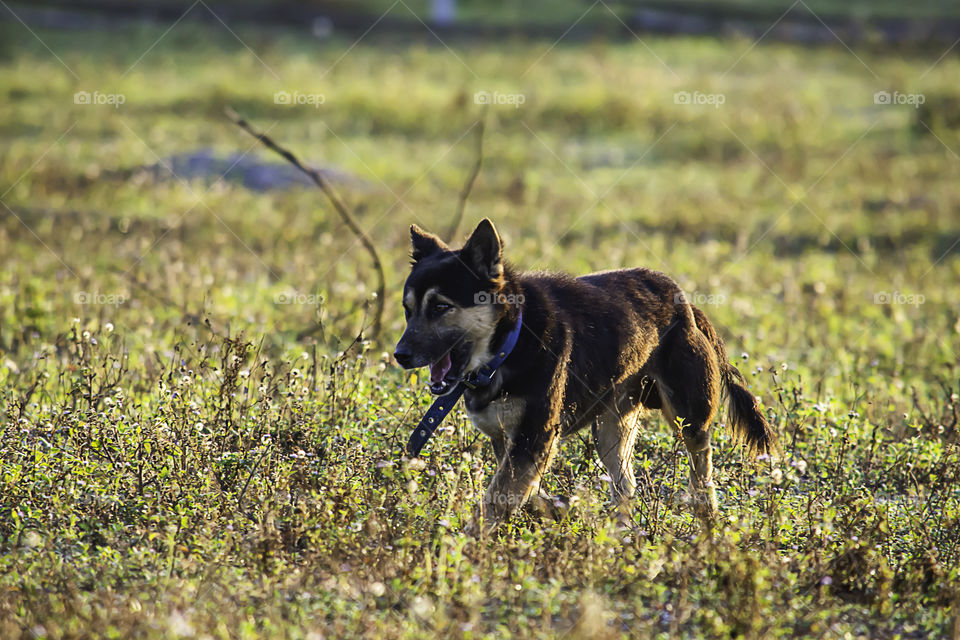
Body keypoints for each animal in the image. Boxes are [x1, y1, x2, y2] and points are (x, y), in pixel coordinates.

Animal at [394, 218, 776, 532]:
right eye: (408, 309)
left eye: (440, 307)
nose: (399, 355)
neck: (507, 344)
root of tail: (684, 303)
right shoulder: (512, 442)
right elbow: (524, 490)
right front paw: (557, 512)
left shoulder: (534, 436)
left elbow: (495, 499)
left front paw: (467, 541)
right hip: (611, 430)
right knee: (626, 485)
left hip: (689, 419)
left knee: (702, 478)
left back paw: (708, 532)